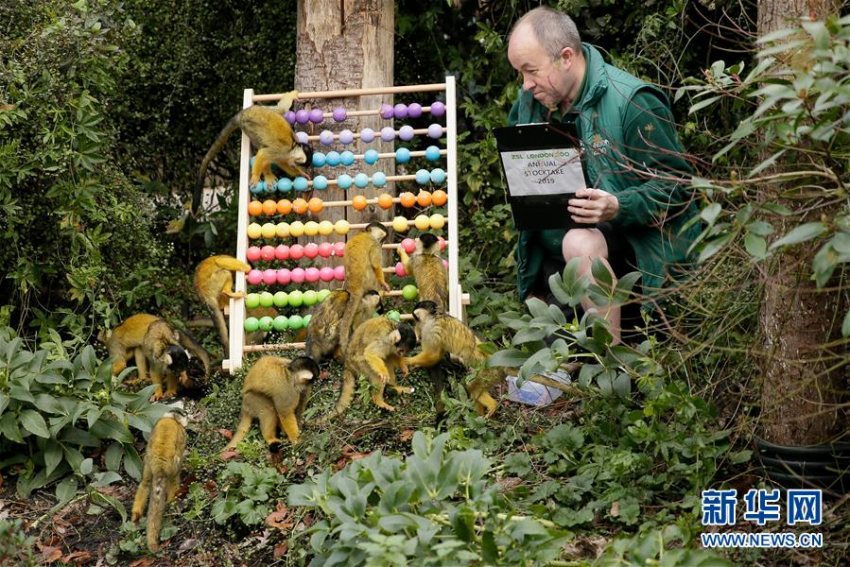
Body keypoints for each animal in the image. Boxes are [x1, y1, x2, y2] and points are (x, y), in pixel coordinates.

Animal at [131, 406, 187, 552]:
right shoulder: (182, 434)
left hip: (149, 459)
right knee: (175, 474)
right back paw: (172, 501)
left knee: (145, 482)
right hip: (171, 464)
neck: (172, 418)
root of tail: (159, 465)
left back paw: (136, 514)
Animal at [338, 224, 390, 352]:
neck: (365, 233)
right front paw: (383, 283)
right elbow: (376, 265)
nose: (382, 243)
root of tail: (353, 288)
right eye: (382, 240)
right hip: (367, 281)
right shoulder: (375, 244)